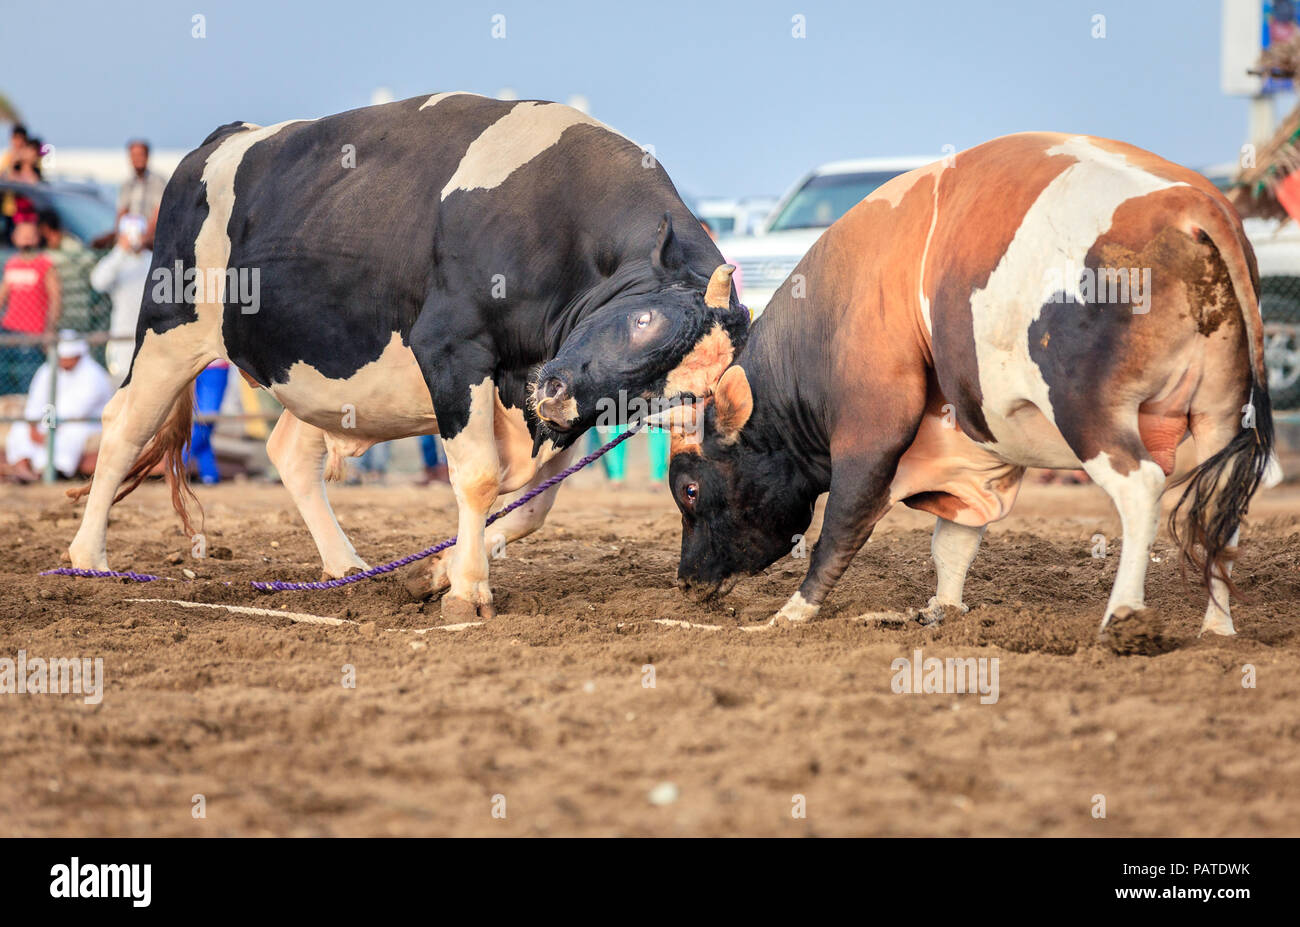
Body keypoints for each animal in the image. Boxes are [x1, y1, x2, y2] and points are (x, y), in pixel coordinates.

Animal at [65, 94, 748, 618]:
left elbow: (533, 507)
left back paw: (344, 566)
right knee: (123, 428)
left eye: (667, 398)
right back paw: (88, 558)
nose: (554, 395)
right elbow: (479, 476)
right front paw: (468, 592)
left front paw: (438, 570)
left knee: (289, 453)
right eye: (643, 319)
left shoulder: (555, 400)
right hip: (168, 332)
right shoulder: (451, 348)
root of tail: (226, 138)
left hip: (318, 376)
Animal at [660, 131, 1279, 637]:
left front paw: (791, 613)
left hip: (1089, 412)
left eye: (689, 489)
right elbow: (953, 540)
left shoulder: (871, 432)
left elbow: (841, 525)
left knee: (1141, 488)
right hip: (1221, 415)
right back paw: (1216, 629)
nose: (686, 581)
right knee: (1220, 506)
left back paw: (1122, 617)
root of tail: (1192, 206)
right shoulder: (969, 451)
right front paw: (944, 609)